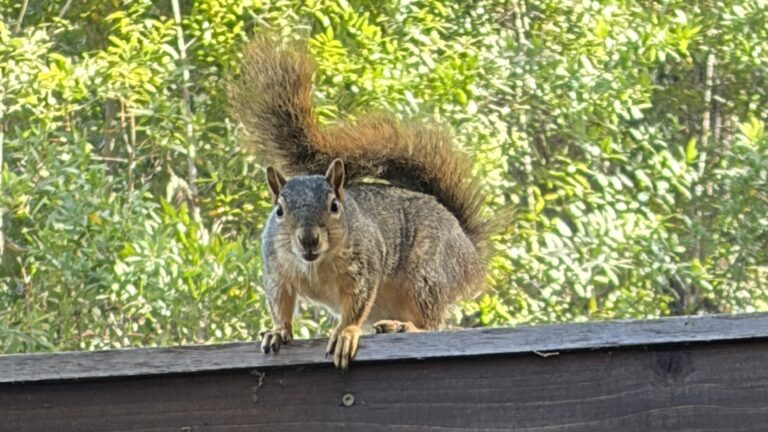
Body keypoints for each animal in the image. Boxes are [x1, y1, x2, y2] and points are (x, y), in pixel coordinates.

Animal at [229, 38, 498, 369]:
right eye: (279, 211)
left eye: (334, 206)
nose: (308, 239)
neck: (316, 265)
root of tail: (469, 248)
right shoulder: (277, 269)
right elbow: (280, 303)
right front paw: (278, 331)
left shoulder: (365, 266)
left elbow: (356, 305)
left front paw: (346, 334)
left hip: (428, 272)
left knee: (431, 323)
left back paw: (405, 327)